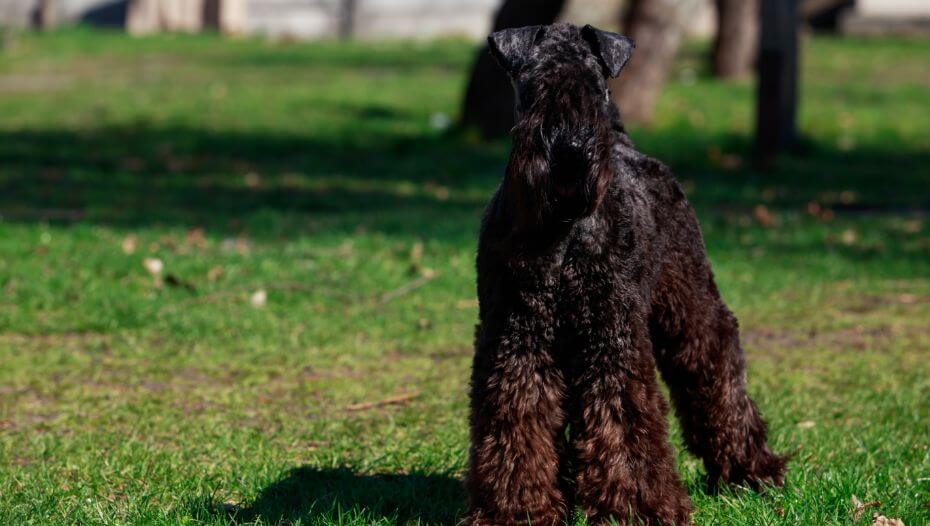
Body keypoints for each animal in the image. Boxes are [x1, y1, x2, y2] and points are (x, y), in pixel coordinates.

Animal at [464, 22, 784, 524]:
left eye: (596, 87)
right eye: (535, 85)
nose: (571, 149)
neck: (564, 231)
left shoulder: (610, 335)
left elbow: (621, 418)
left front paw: (634, 507)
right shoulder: (516, 336)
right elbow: (516, 416)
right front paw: (517, 509)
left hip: (689, 303)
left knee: (716, 363)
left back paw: (751, 470)